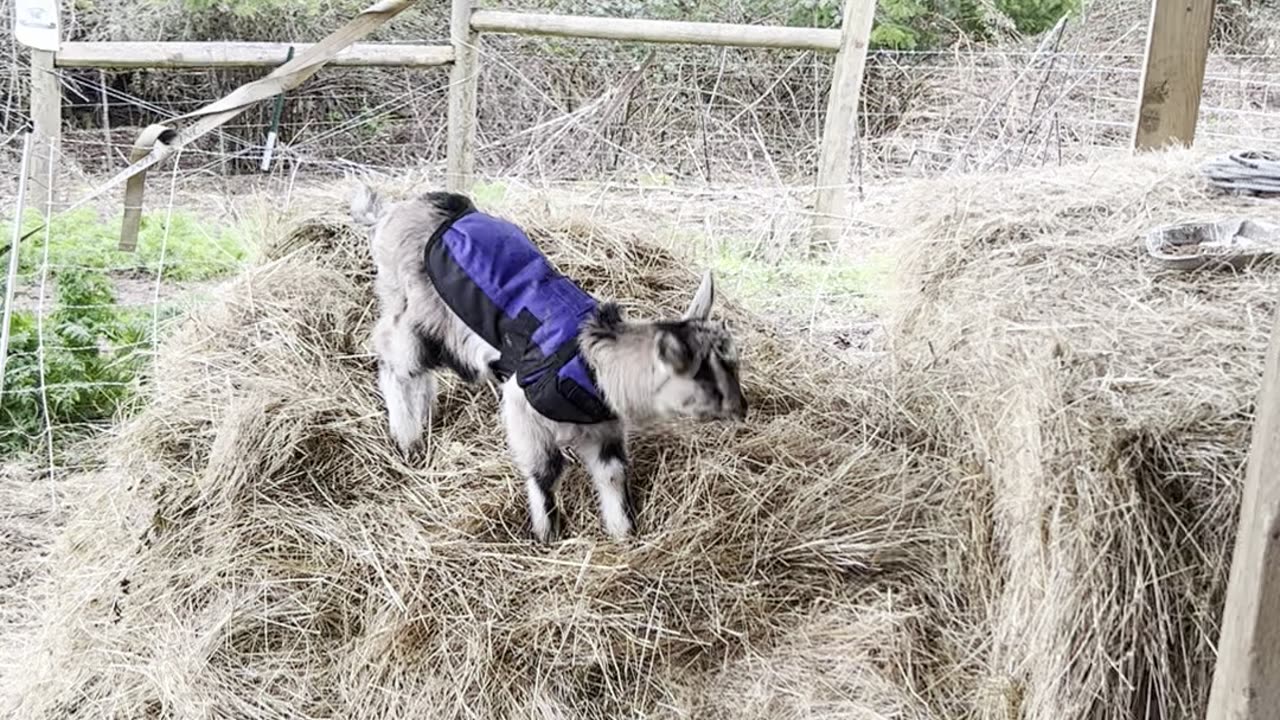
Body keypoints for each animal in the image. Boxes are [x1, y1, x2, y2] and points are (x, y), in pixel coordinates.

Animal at [355, 184, 747, 538]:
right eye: (706, 377)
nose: (742, 408)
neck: (590, 365)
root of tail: (395, 211)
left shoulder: (605, 430)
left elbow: (612, 474)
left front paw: (623, 534)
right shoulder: (522, 407)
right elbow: (545, 470)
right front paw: (547, 534)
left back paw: (423, 422)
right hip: (412, 313)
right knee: (393, 359)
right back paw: (406, 437)